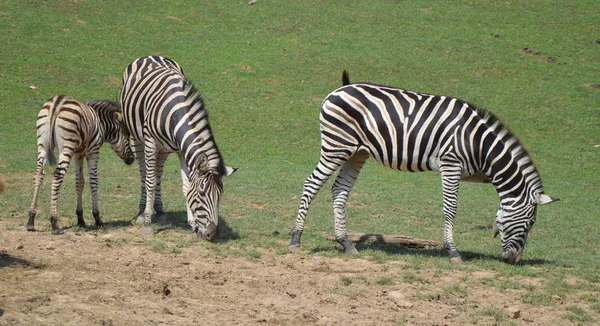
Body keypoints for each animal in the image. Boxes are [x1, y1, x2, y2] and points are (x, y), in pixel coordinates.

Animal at [27, 95, 134, 233]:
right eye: (127, 135)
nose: (132, 159)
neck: (101, 124)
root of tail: (57, 102)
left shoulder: (78, 154)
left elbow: (80, 182)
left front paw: (80, 219)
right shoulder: (93, 152)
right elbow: (93, 182)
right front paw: (97, 218)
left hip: (43, 145)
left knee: (38, 175)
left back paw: (31, 219)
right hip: (66, 147)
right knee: (57, 176)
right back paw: (54, 222)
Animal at [119, 56, 237, 239]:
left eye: (220, 195)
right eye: (202, 194)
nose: (212, 235)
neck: (177, 113)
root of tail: (150, 56)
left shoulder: (182, 150)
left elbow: (186, 186)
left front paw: (193, 225)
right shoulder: (151, 143)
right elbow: (150, 182)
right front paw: (148, 224)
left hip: (164, 149)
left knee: (158, 173)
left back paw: (160, 212)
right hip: (136, 137)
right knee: (144, 173)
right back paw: (141, 213)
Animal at [290, 72, 556, 264]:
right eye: (530, 223)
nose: (514, 261)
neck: (480, 145)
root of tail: (339, 90)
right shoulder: (451, 164)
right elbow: (451, 209)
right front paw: (453, 252)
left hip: (356, 152)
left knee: (339, 190)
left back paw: (346, 243)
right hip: (336, 146)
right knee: (312, 183)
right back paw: (295, 239)